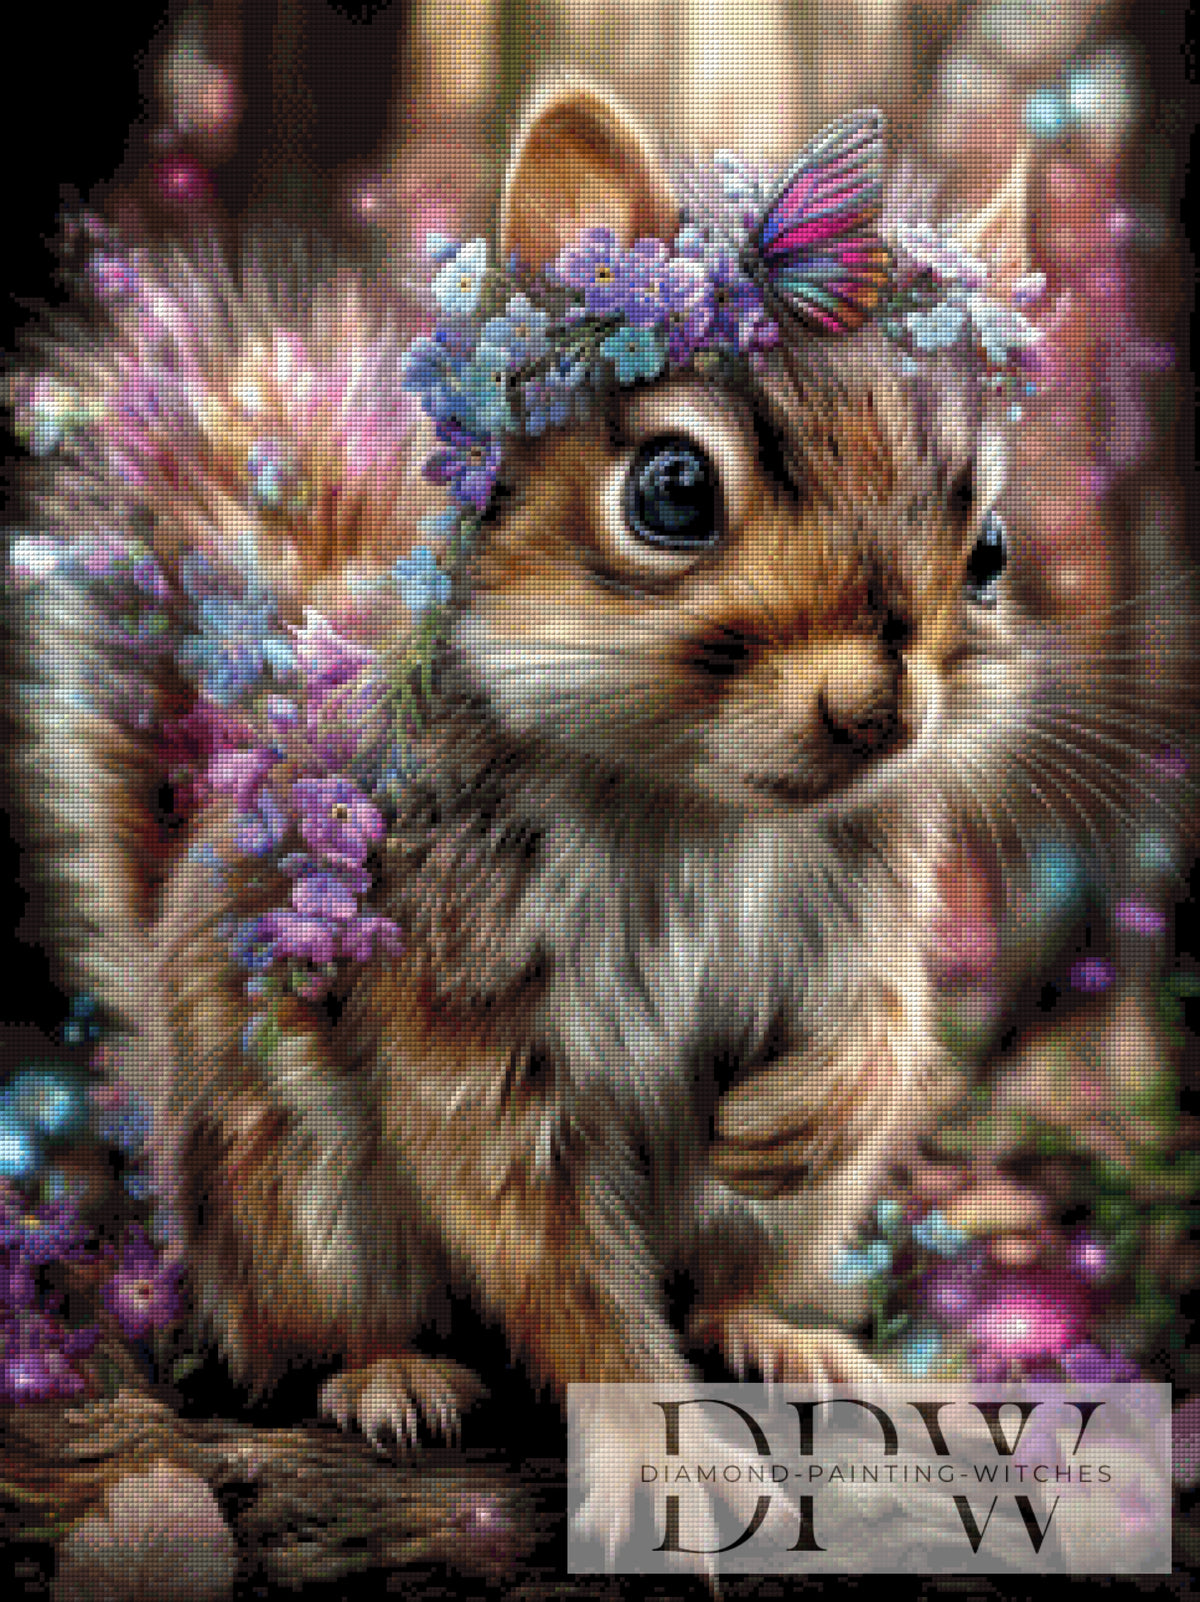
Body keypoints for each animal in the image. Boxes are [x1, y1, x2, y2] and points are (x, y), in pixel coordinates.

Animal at [6, 74, 1083, 1549]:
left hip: (774, 1222)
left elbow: (883, 1014)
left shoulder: (867, 899)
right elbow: (545, 1242)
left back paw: (784, 1336)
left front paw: (805, 1105)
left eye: (989, 551)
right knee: (296, 1337)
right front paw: (658, 1448)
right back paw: (387, 1373)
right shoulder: (460, 989)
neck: (702, 809)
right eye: (673, 491)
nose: (878, 713)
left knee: (722, 1279)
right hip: (296, 1189)